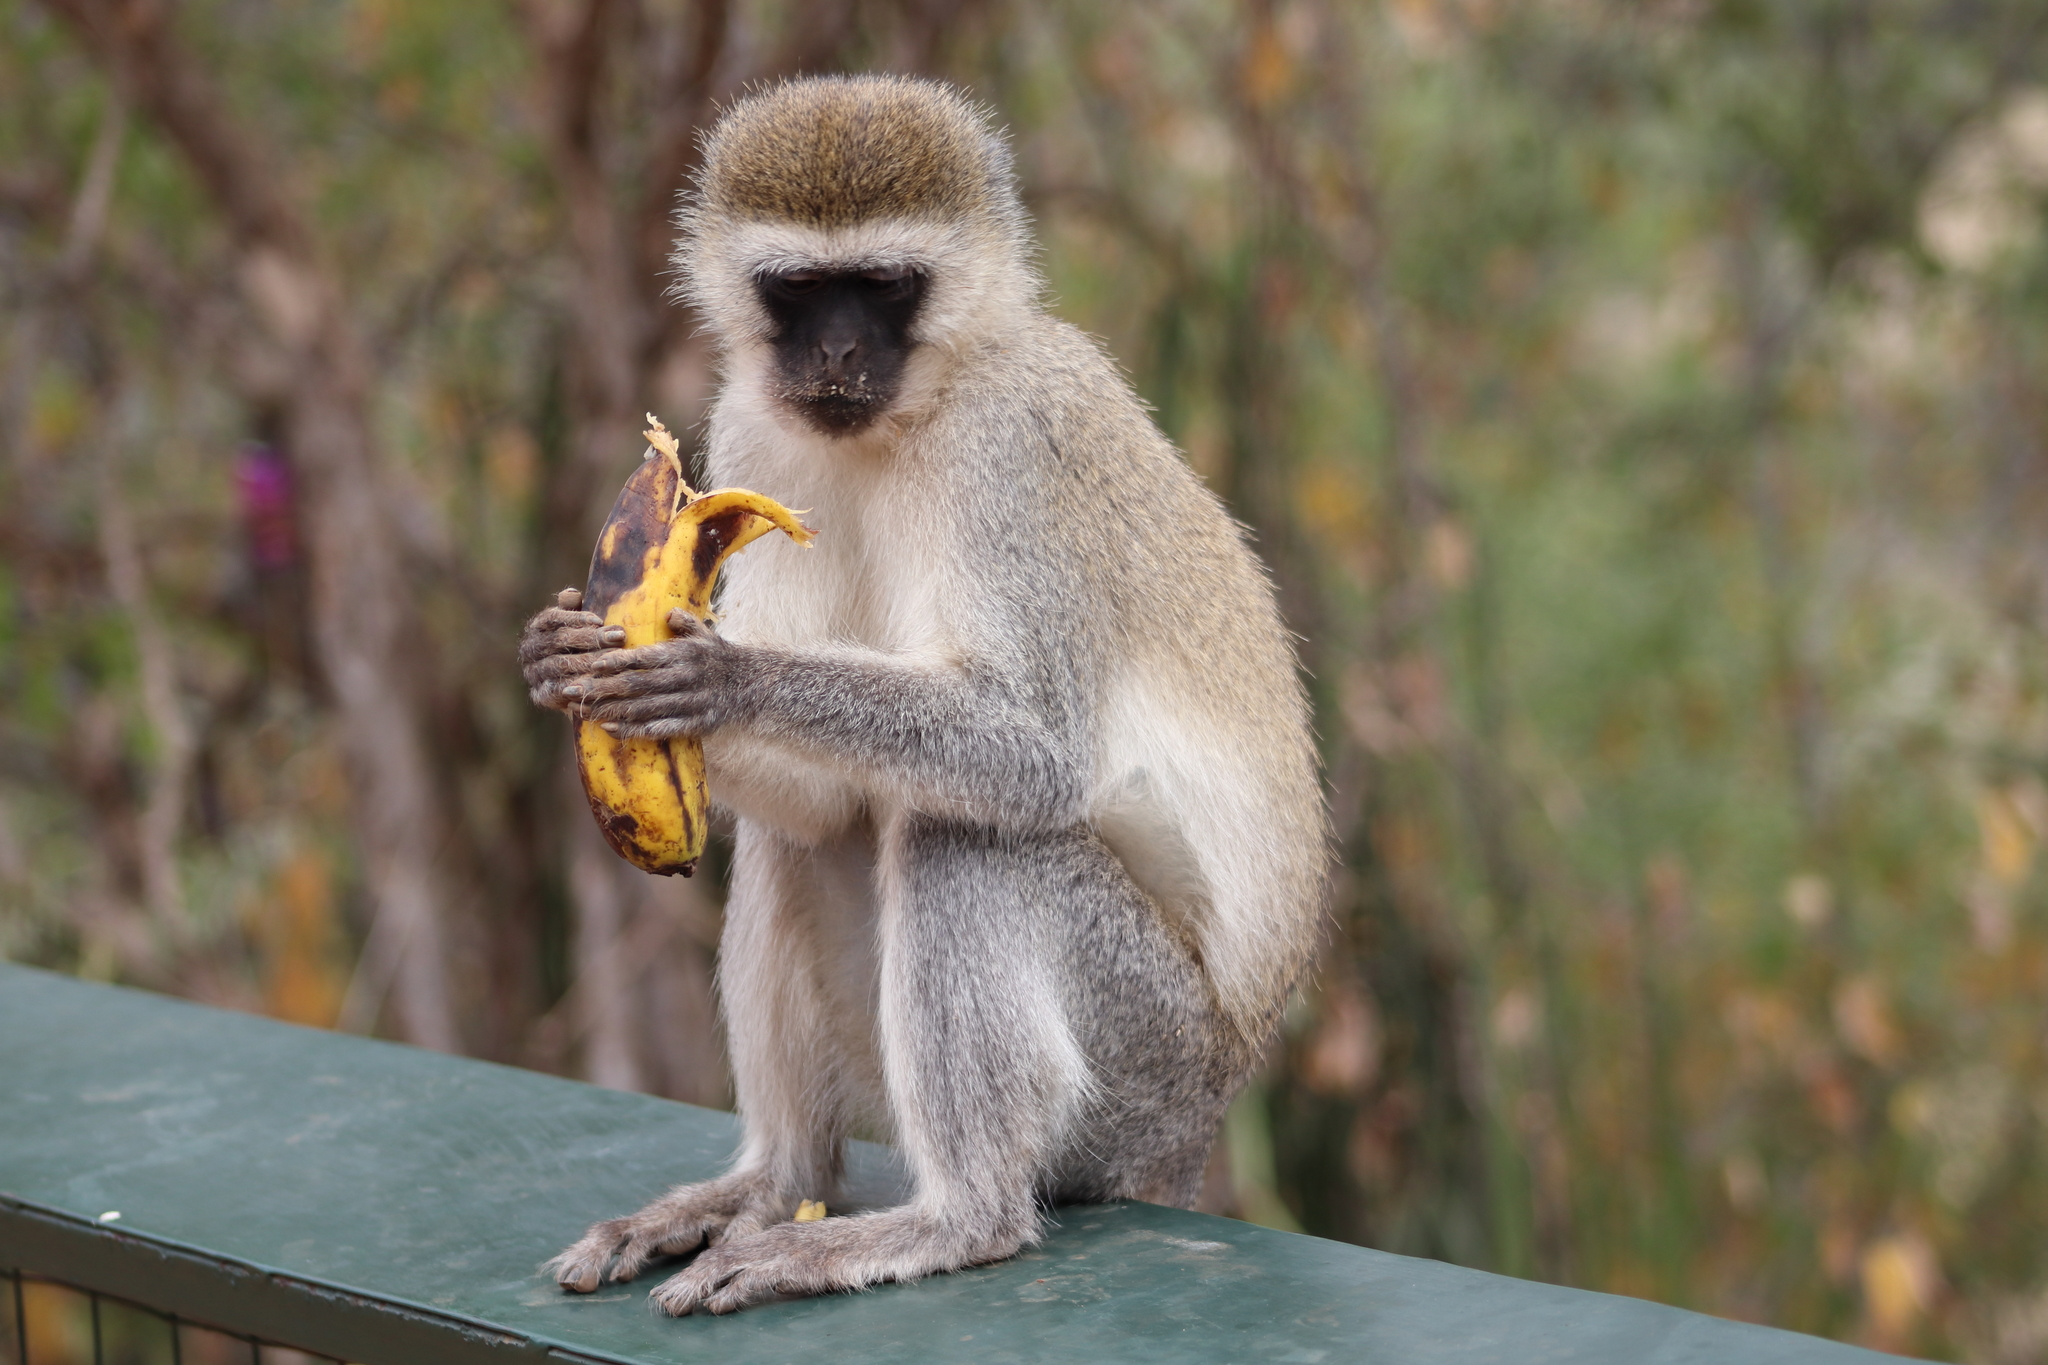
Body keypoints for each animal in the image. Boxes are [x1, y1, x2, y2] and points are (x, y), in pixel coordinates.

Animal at [524, 72, 1327, 1309]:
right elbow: (817, 807)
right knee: (805, 836)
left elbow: (1035, 752)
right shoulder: (754, 425)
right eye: (801, 289)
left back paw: (956, 1220)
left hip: (1148, 1062)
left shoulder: (1010, 447)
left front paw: (726, 673)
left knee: (963, 833)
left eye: (886, 285)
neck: (916, 407)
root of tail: (1204, 1114)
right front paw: (566, 659)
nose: (838, 353)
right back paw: (771, 1184)